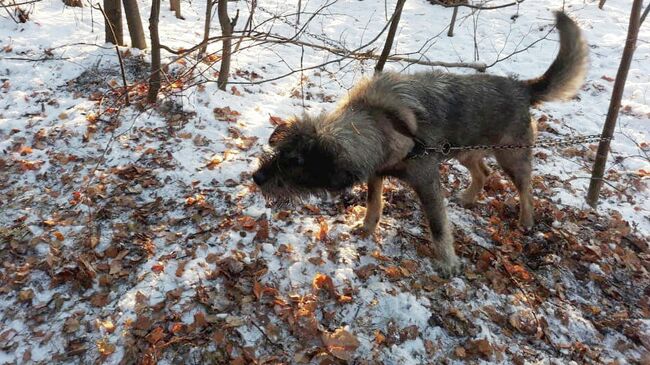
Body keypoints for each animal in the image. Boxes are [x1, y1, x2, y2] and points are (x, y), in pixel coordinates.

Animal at [253, 12, 588, 276]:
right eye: (279, 152)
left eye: (296, 162)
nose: (256, 177)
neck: (382, 121)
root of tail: (522, 88)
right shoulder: (377, 173)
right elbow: (373, 204)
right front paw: (366, 228)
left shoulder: (428, 183)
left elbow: (439, 226)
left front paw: (448, 263)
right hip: (464, 152)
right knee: (484, 173)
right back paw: (469, 197)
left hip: (512, 158)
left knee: (525, 189)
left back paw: (526, 221)